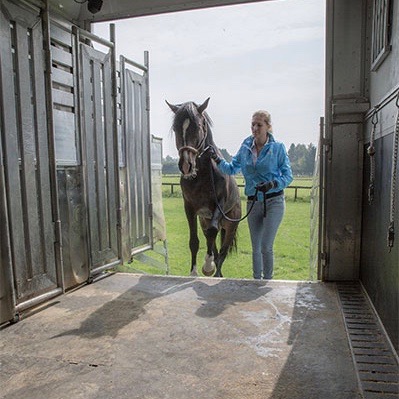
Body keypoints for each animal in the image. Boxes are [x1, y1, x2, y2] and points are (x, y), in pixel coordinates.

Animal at [165, 98, 241, 276]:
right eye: (175, 128)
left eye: (198, 126)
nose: (186, 165)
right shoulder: (190, 208)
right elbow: (194, 241)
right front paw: (194, 272)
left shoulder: (219, 206)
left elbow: (213, 235)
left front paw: (208, 266)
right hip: (204, 220)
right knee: (212, 244)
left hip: (230, 226)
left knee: (222, 251)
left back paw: (217, 272)